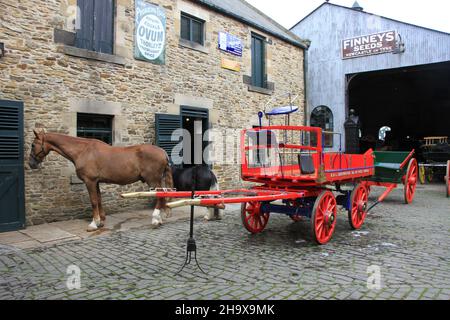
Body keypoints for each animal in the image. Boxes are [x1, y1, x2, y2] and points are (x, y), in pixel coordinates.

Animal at [28, 129, 172, 231]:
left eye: (33, 145)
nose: (31, 164)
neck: (83, 151)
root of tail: (162, 151)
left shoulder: (89, 181)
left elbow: (93, 201)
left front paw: (93, 223)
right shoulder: (96, 182)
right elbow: (99, 199)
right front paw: (101, 221)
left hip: (152, 179)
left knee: (160, 194)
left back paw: (155, 220)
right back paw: (160, 218)